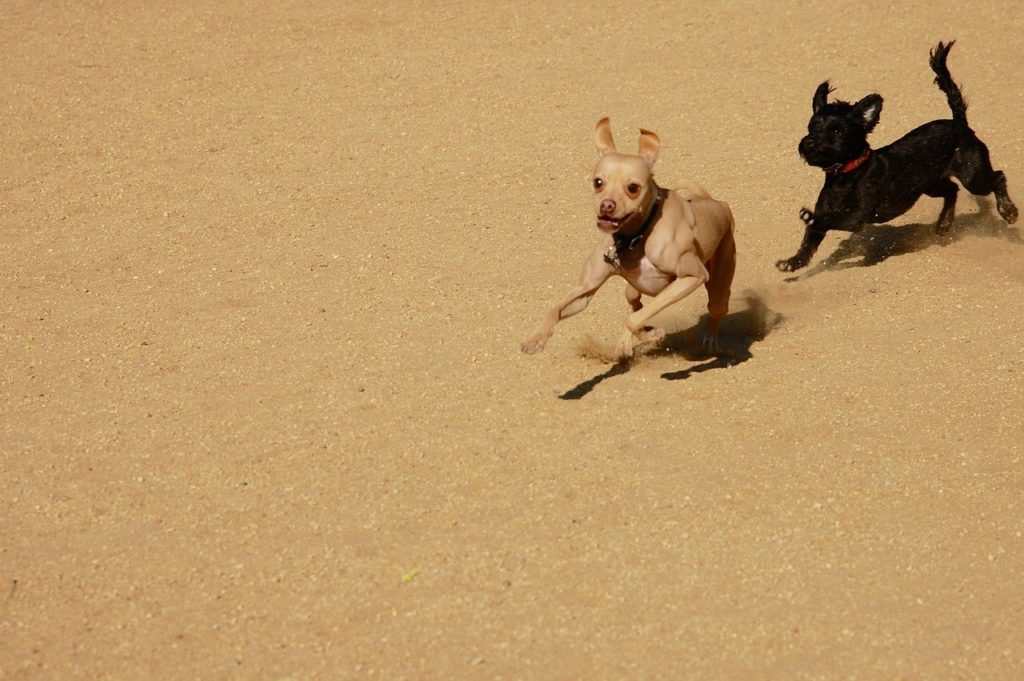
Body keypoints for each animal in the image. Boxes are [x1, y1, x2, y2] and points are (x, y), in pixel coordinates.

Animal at [520, 116, 737, 360]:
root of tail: (715, 202)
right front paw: (536, 339)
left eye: (633, 187)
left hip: (719, 279)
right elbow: (555, 309)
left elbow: (634, 320)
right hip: (631, 290)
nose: (607, 205)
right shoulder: (586, 288)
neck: (637, 237)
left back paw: (710, 340)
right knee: (635, 303)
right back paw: (625, 344)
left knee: (715, 309)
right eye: (598, 182)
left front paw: (652, 334)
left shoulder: (692, 276)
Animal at [774, 40, 1015, 270]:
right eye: (812, 126)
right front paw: (792, 263)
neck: (846, 174)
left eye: (836, 131)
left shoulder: (856, 216)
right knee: (951, 189)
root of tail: (960, 123)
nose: (809, 142)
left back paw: (1008, 211)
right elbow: (808, 243)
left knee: (998, 177)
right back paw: (944, 224)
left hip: (972, 175)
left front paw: (809, 219)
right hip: (929, 184)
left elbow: (824, 220)